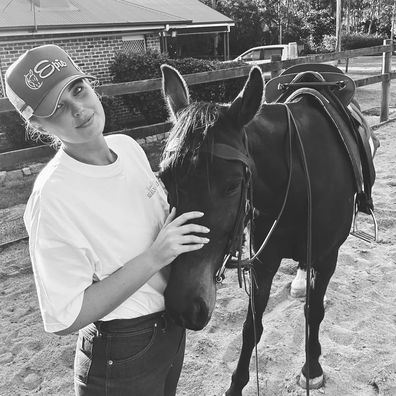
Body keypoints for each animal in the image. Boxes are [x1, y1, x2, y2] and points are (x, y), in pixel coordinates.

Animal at [158, 63, 366, 394]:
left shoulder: (327, 257)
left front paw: (312, 367)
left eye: (232, 185)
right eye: (164, 179)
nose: (182, 306)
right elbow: (251, 326)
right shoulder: (264, 262)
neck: (299, 177)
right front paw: (236, 385)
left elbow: (314, 313)